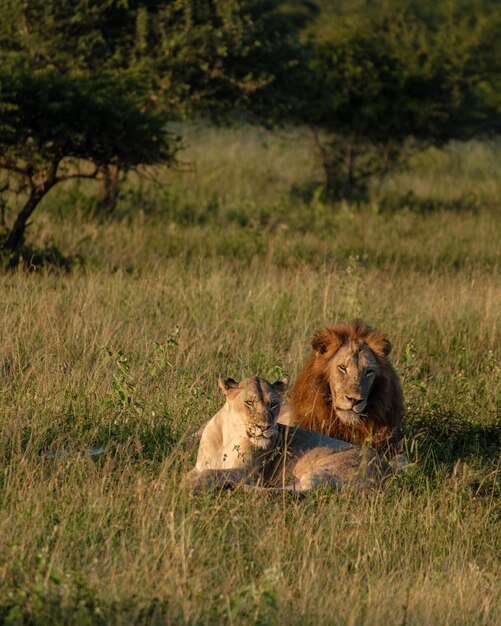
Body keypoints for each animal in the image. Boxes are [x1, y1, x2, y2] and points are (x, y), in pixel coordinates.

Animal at [187, 370, 386, 492]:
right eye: (249, 403)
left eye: (273, 404)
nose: (265, 427)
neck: (227, 437)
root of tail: (389, 470)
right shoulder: (200, 465)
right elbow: (197, 472)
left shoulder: (246, 472)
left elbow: (212, 473)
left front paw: (188, 485)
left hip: (326, 469)